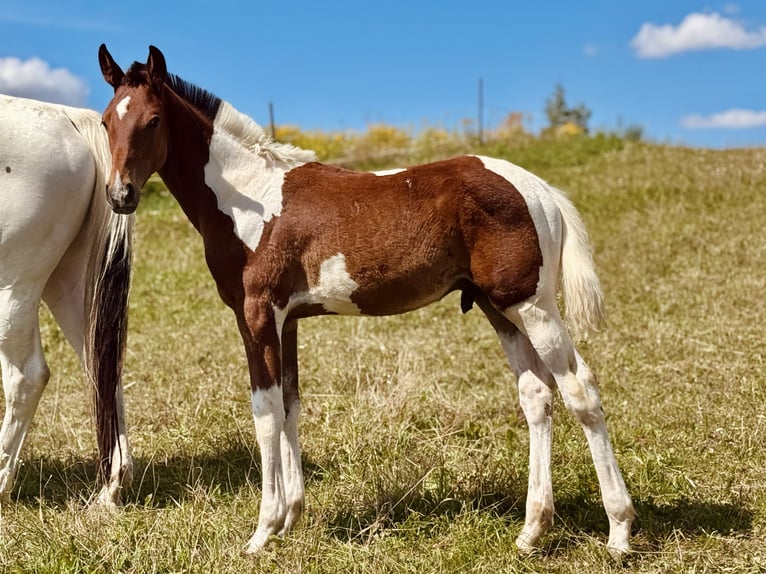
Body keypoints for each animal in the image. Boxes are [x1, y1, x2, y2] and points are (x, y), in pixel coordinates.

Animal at [0, 94, 134, 509]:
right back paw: (112, 486)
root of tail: (69, 117)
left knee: (27, 377)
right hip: (66, 284)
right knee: (102, 365)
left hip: (14, 288)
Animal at [97, 44, 634, 558]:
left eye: (152, 120)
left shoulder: (257, 314)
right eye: (106, 121)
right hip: (497, 307)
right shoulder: (288, 320)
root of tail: (541, 190)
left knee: (580, 390)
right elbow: (291, 405)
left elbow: (265, 412)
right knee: (537, 395)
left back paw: (619, 532)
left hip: (532, 305)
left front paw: (263, 531)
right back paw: (531, 532)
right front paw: (291, 519)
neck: (247, 197)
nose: (120, 195)